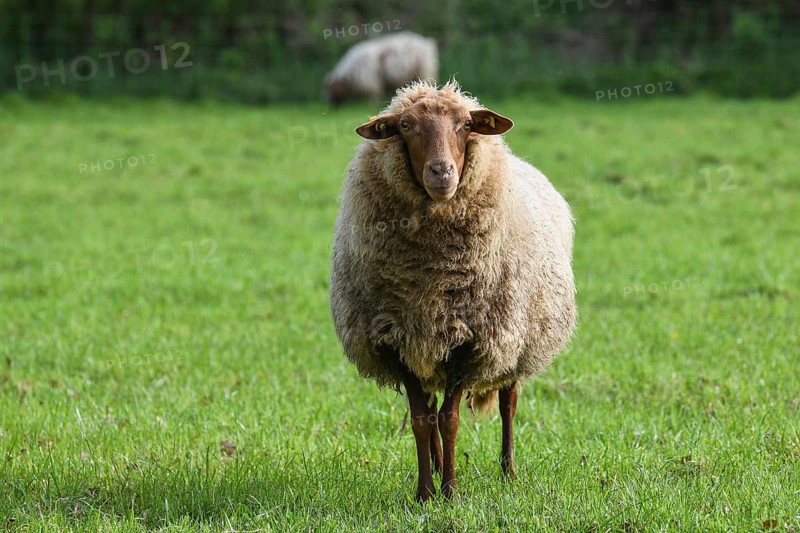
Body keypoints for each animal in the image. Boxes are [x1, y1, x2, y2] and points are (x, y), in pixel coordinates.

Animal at [329, 80, 577, 502]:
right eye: (406, 126)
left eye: (465, 125)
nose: (442, 172)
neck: (427, 279)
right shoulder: (396, 340)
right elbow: (421, 420)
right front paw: (424, 493)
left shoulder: (472, 341)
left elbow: (450, 419)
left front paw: (450, 492)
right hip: (428, 349)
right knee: (430, 406)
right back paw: (436, 466)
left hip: (515, 340)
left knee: (508, 403)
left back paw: (508, 471)